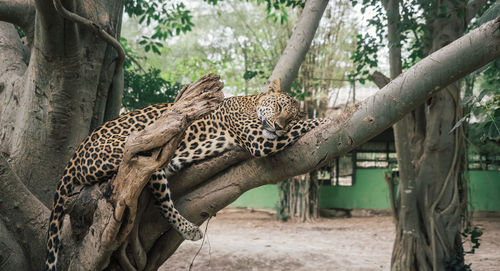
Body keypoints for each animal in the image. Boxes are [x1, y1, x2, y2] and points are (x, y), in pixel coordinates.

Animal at [45, 79, 328, 270]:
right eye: (278, 107)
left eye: (290, 118)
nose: (279, 126)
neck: (250, 102)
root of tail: (77, 151)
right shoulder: (259, 141)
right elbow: (305, 126)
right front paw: (327, 119)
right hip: (140, 152)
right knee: (163, 202)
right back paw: (189, 230)